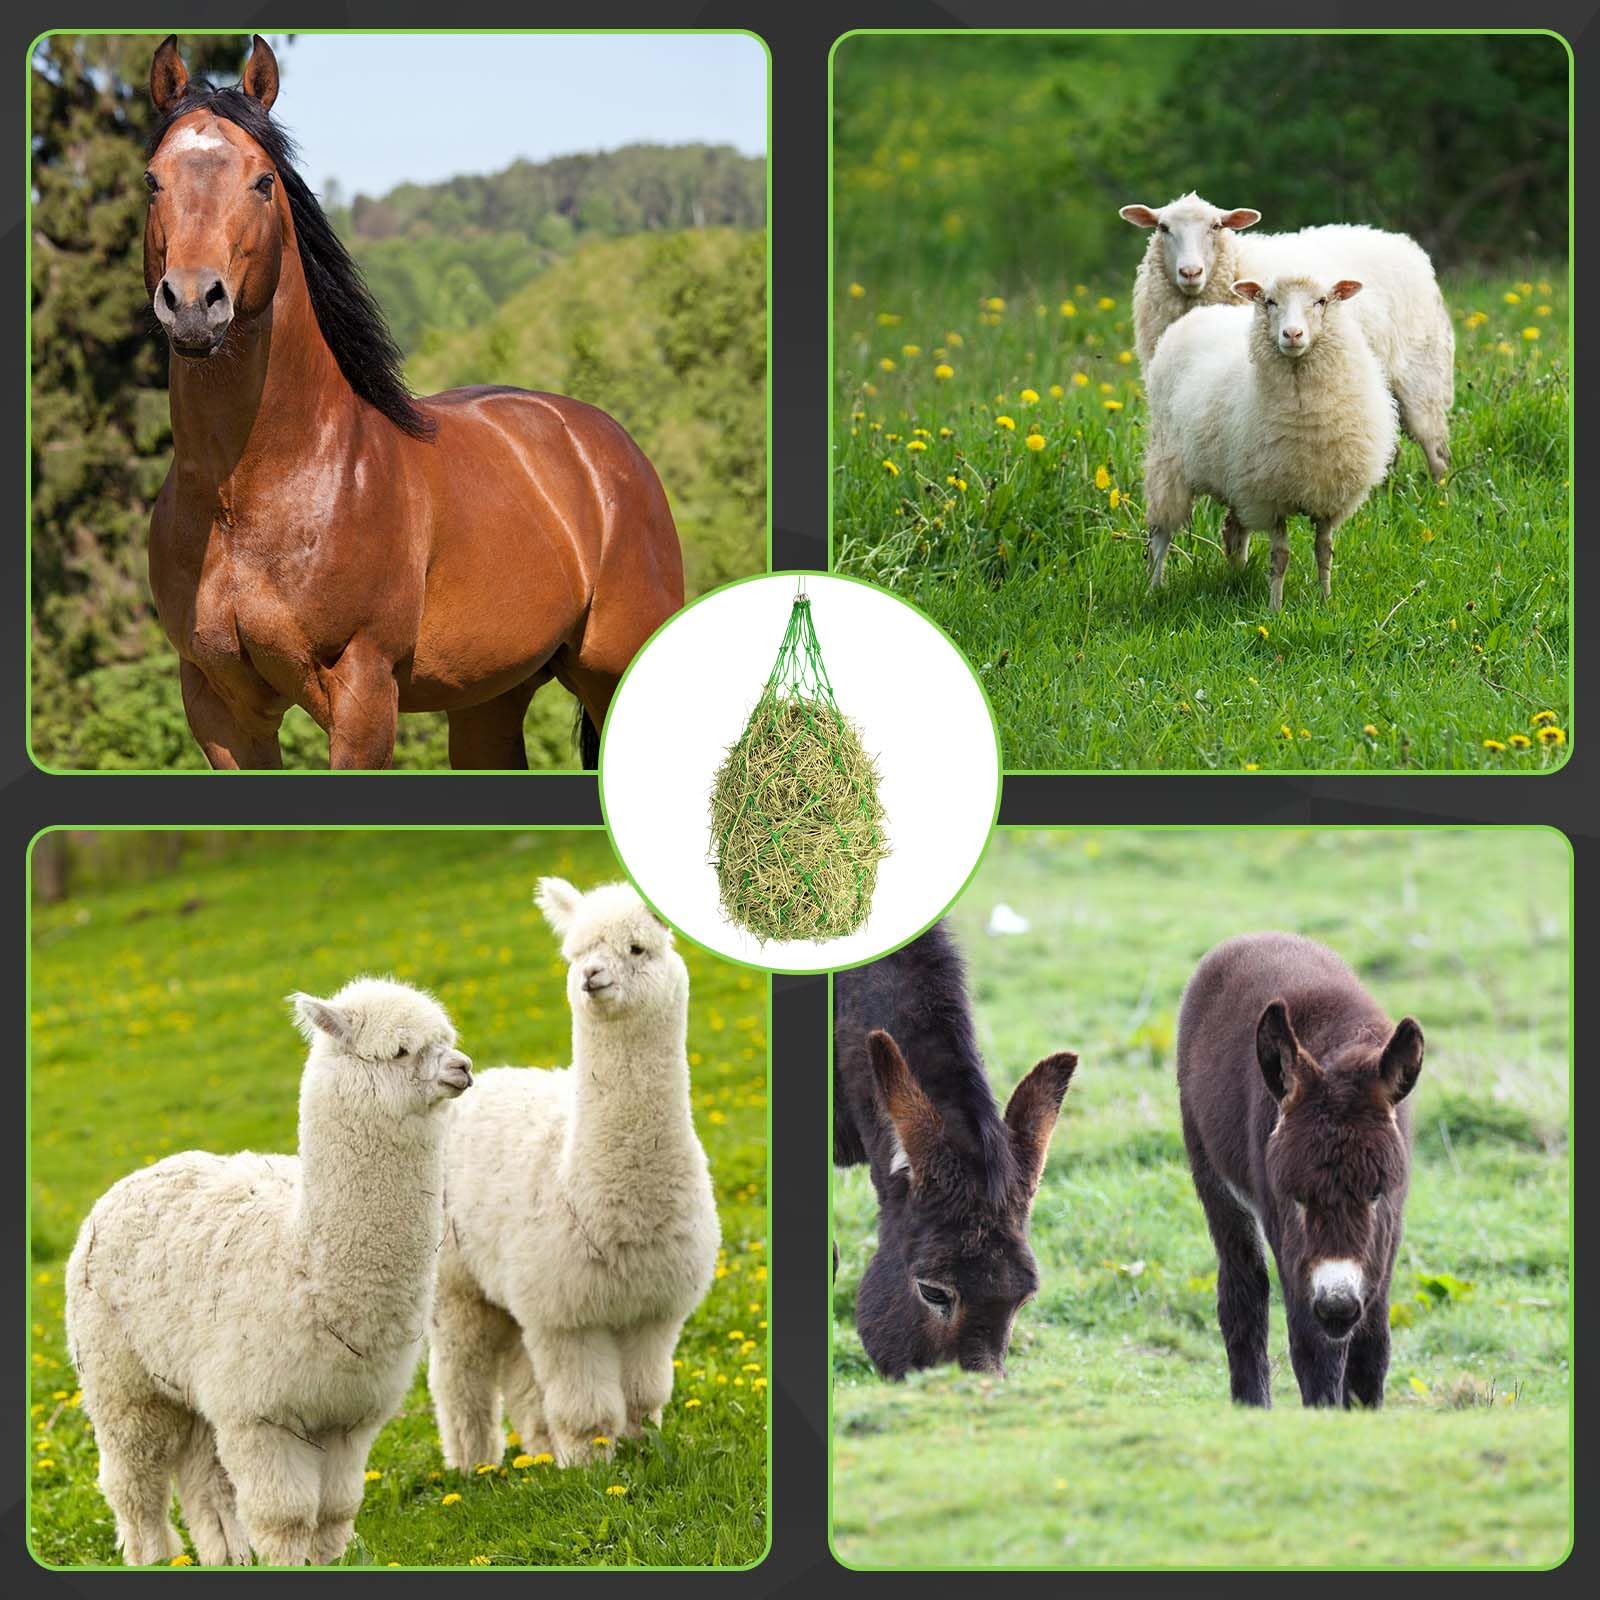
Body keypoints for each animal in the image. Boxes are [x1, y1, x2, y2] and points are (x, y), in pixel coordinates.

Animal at [141, 36, 683, 769]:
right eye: (152, 180)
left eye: (262, 181)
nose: (195, 303)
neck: (248, 496)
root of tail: (610, 451)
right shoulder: (220, 709)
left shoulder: (363, 693)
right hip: (489, 699)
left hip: (611, 669)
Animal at [1177, 931, 1424, 1408]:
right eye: (1298, 1197)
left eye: (1376, 1193)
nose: (1338, 1307)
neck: (1338, 1052)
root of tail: (1257, 936)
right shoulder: (1286, 1233)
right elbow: (1314, 1348)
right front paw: (1324, 1413)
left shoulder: (1390, 1231)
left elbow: (1372, 1347)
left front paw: (1363, 1411)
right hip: (1213, 1177)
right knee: (1244, 1293)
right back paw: (1252, 1404)